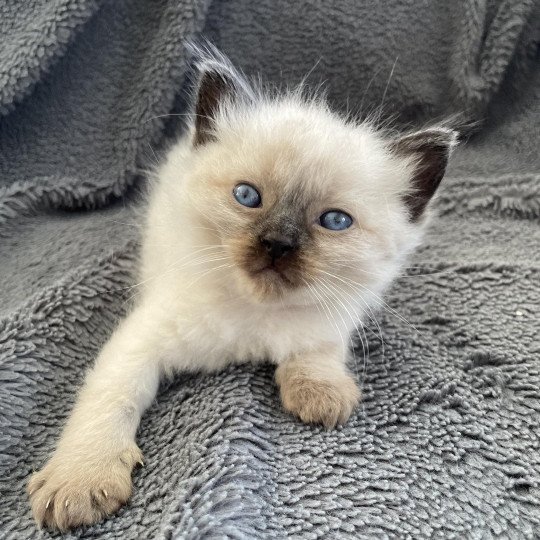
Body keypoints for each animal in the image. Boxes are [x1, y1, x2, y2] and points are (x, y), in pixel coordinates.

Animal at [26, 44, 456, 528]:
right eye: (248, 196)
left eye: (334, 221)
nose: (278, 244)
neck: (257, 313)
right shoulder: (142, 342)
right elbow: (110, 399)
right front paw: (80, 482)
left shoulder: (331, 322)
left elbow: (318, 356)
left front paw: (322, 396)